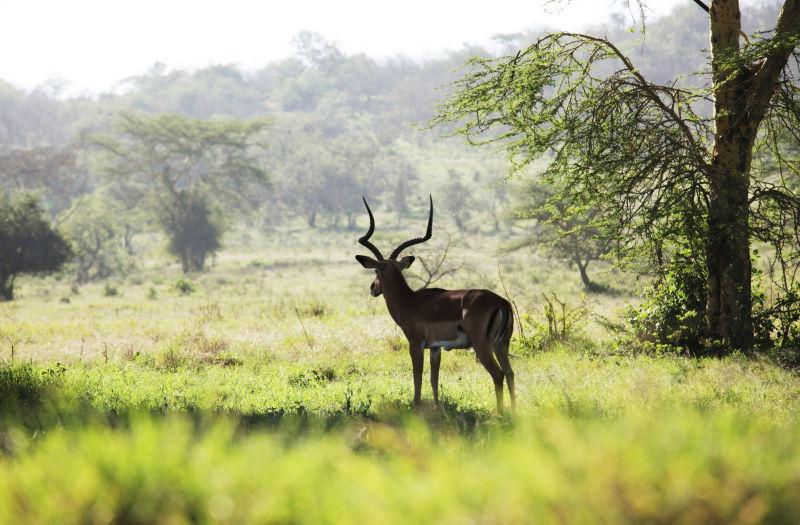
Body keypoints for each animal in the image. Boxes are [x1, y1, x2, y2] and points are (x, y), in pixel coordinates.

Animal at [356, 194, 520, 412]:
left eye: (376, 270)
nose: (373, 289)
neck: (409, 302)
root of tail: (501, 303)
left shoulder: (415, 344)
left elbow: (417, 377)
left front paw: (416, 407)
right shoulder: (435, 348)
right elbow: (434, 379)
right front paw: (437, 407)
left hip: (482, 345)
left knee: (498, 374)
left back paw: (500, 413)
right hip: (502, 345)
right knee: (510, 373)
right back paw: (515, 412)